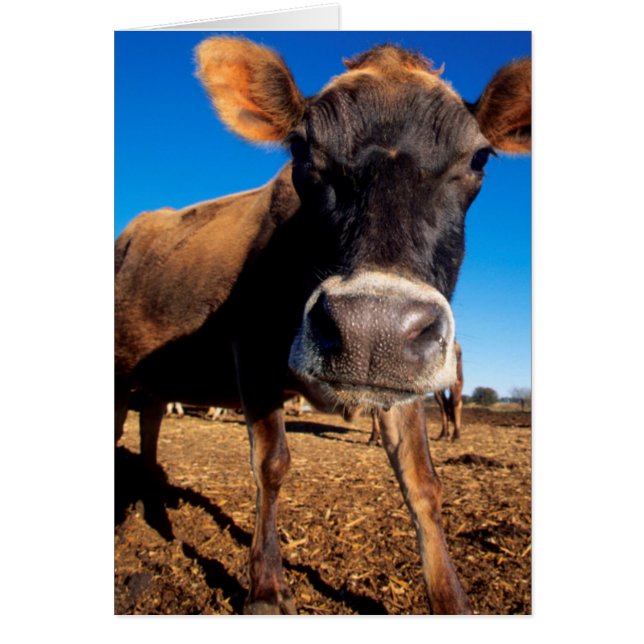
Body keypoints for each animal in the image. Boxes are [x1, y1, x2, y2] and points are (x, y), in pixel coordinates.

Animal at [115, 37, 531, 615]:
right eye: (299, 148)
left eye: (479, 156)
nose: (373, 328)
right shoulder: (251, 350)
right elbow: (271, 464)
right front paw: (267, 588)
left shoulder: (403, 376)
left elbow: (422, 482)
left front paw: (451, 600)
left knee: (151, 415)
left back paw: (153, 493)